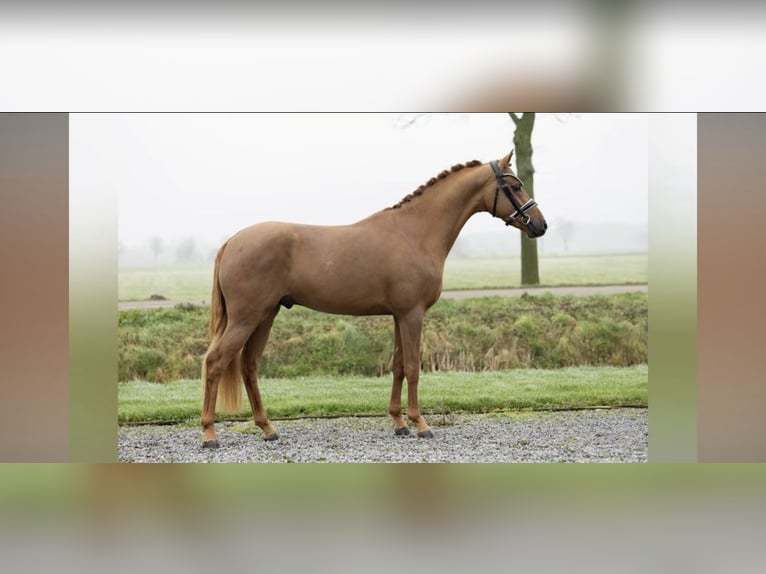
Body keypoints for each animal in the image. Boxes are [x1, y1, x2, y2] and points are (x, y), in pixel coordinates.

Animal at [200, 150, 547, 448]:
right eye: (515, 185)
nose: (540, 225)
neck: (415, 232)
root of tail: (231, 242)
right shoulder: (412, 314)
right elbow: (413, 368)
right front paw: (421, 424)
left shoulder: (398, 315)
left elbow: (397, 367)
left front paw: (399, 423)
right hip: (247, 317)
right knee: (216, 362)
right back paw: (209, 434)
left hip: (265, 315)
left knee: (249, 366)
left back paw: (267, 429)